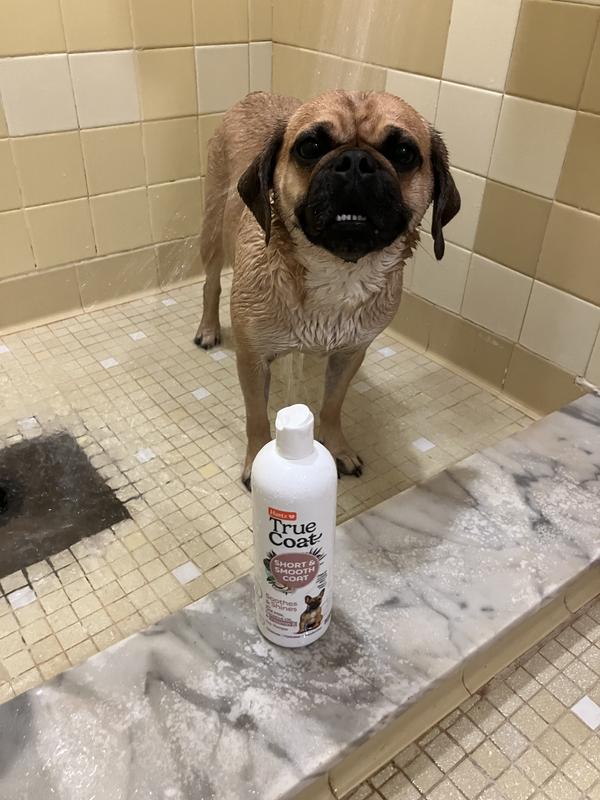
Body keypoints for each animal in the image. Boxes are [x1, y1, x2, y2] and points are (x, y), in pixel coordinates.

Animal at [195, 90, 460, 487]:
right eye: (311, 147)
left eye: (403, 152)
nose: (356, 162)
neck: (337, 273)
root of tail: (255, 94)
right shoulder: (253, 359)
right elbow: (257, 417)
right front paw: (257, 459)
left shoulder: (349, 354)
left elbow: (333, 405)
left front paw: (336, 447)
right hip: (212, 232)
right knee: (211, 285)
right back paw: (209, 329)